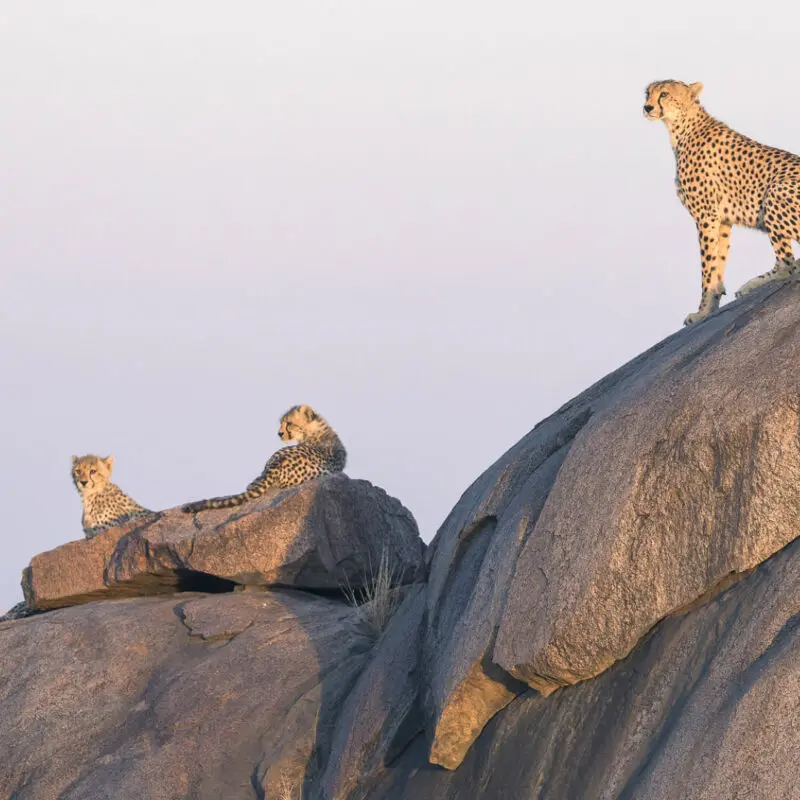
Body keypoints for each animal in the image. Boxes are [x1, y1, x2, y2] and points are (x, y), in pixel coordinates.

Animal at [644, 80, 800, 325]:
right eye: (647, 93)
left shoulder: (705, 216)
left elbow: (707, 266)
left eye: (665, 94)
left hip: (775, 191)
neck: (682, 127)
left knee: (788, 265)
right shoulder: (722, 220)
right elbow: (719, 261)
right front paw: (712, 304)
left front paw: (702, 311)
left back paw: (753, 284)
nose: (647, 107)